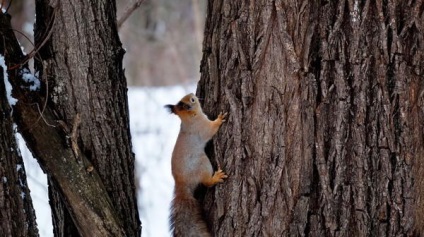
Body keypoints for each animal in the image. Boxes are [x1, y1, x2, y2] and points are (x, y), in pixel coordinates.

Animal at [165, 93, 229, 236]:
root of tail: (182, 184)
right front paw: (219, 119)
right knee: (206, 182)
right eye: (192, 100)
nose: (193, 94)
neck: (189, 119)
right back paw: (215, 178)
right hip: (203, 164)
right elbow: (211, 129)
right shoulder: (202, 127)